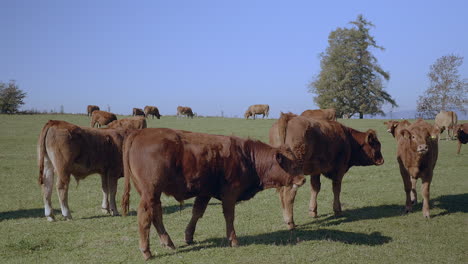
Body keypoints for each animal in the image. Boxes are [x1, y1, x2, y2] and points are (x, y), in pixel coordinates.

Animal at [119, 128, 304, 260]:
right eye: (292, 165)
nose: (302, 179)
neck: (247, 157)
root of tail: (140, 132)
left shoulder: (204, 192)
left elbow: (197, 213)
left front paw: (188, 236)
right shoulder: (230, 193)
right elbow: (229, 216)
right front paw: (233, 240)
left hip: (153, 194)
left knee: (156, 214)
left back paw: (168, 242)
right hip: (150, 192)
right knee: (145, 216)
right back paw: (146, 251)